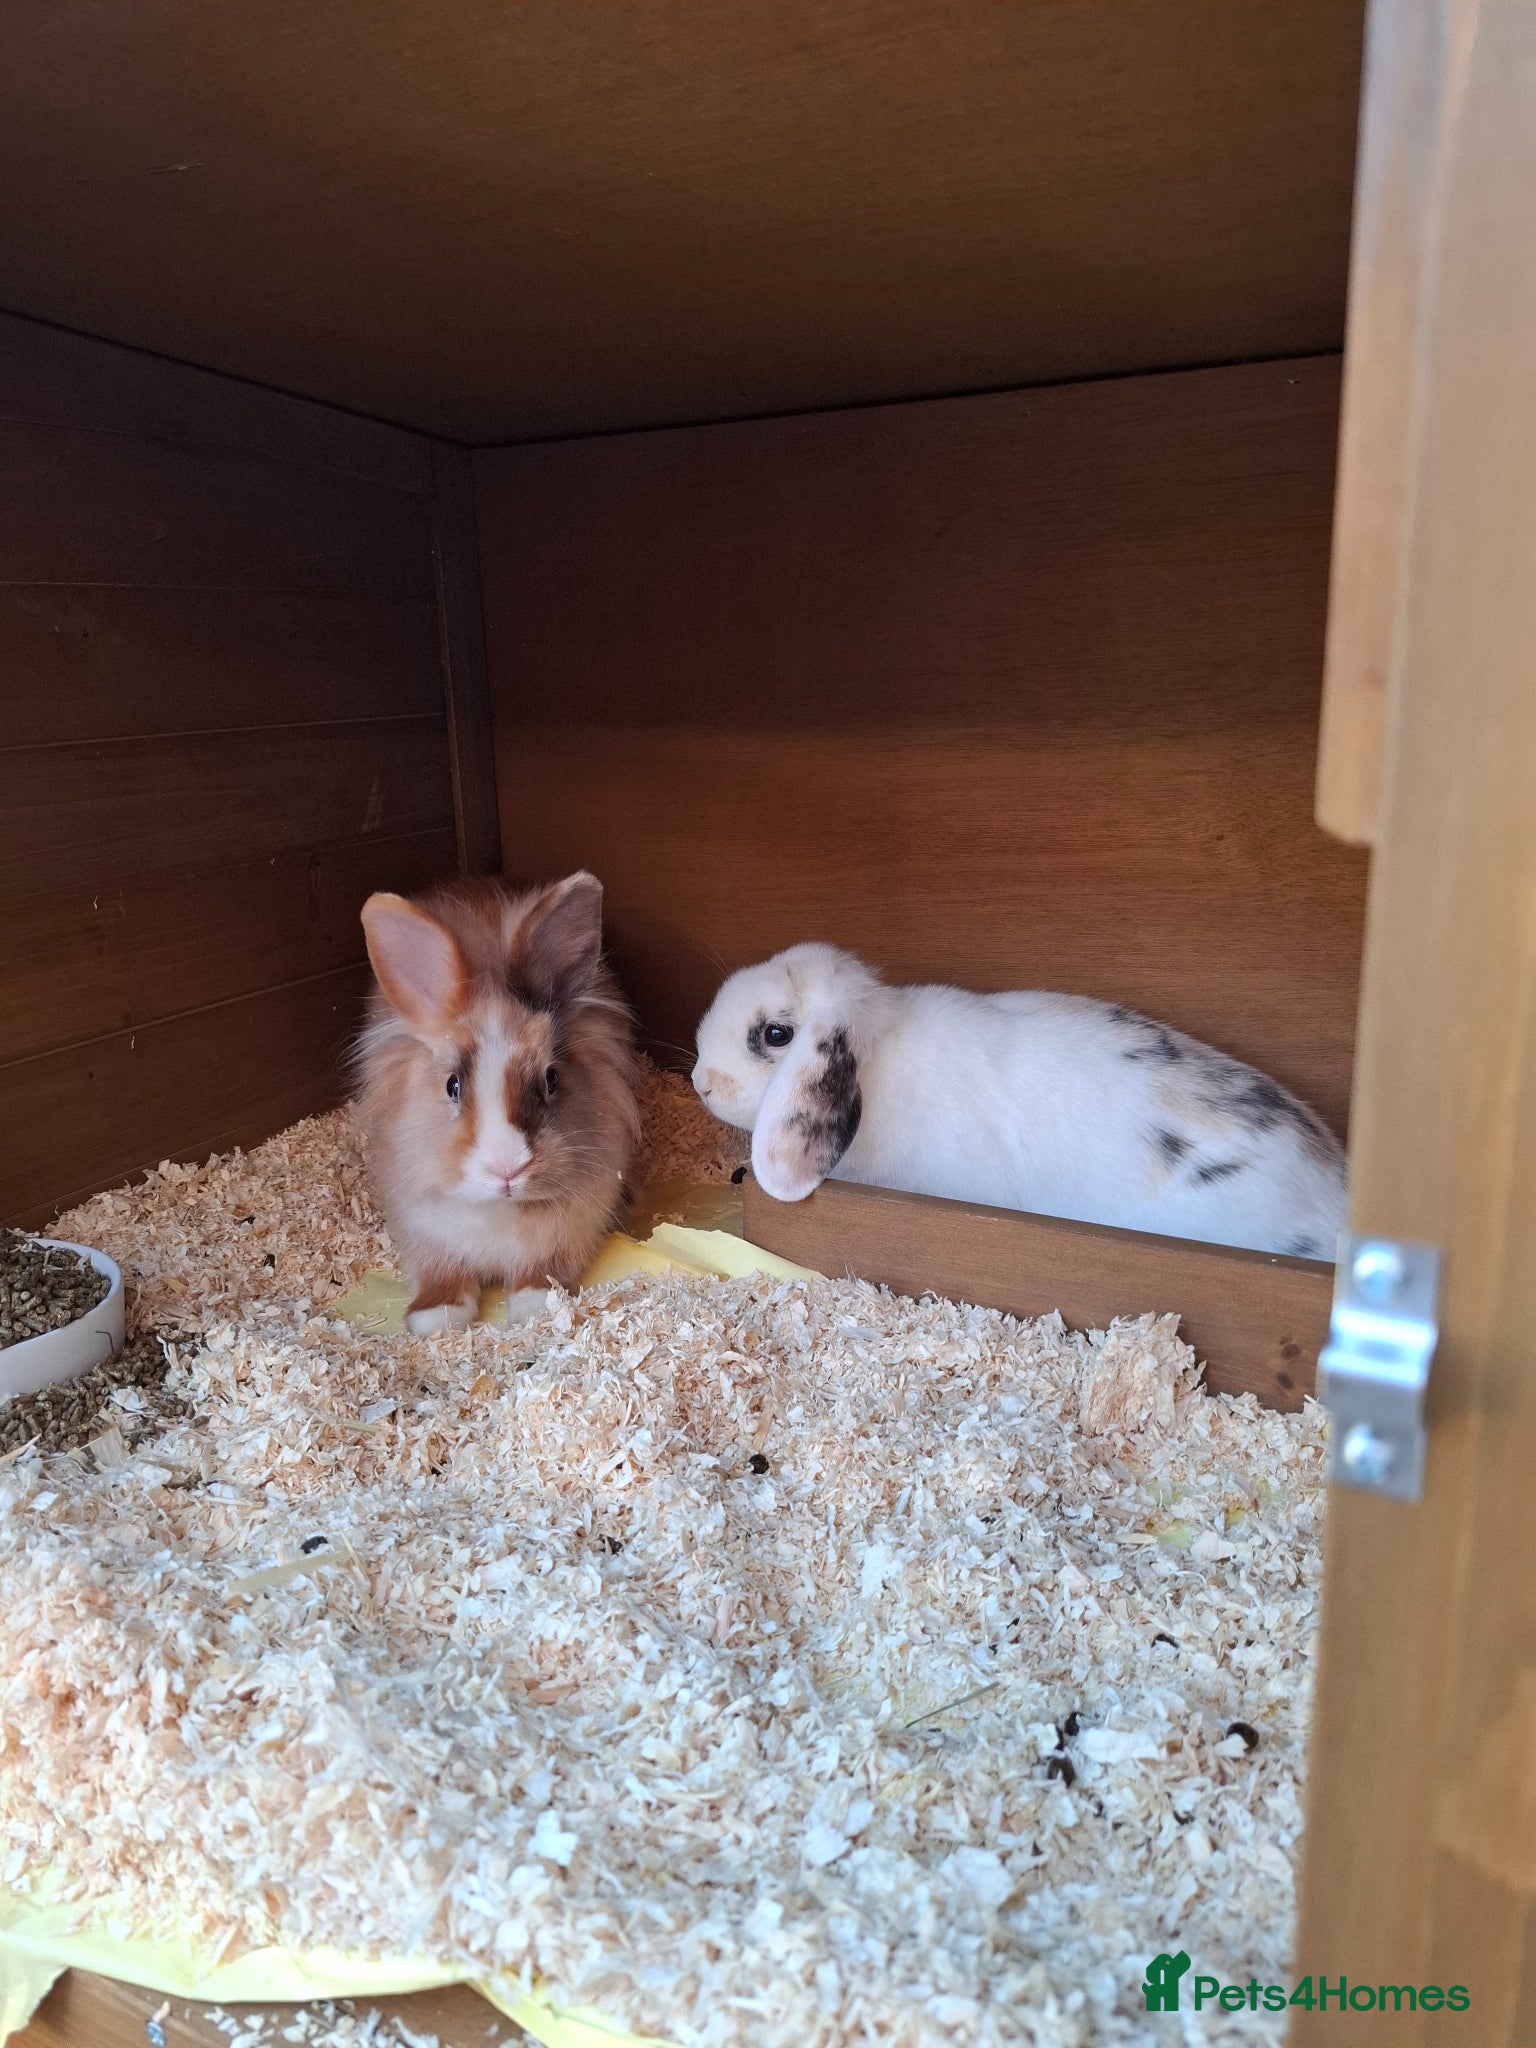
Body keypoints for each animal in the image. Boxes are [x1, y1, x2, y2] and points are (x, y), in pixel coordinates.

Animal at [354, 871, 640, 1335]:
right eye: (452, 1085)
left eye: (552, 1078)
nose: (507, 1170)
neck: (496, 1209)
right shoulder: (426, 1234)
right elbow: (442, 1276)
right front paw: (435, 1319)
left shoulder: (565, 1235)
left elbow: (539, 1273)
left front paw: (537, 1306)